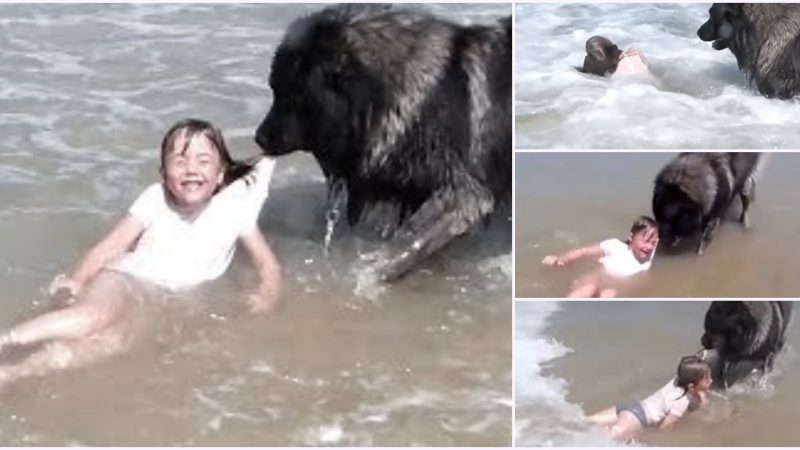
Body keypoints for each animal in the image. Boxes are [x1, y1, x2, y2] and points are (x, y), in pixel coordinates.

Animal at [253, 5, 510, 282]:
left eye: (292, 94)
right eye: (274, 89)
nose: (258, 137)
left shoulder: (463, 195)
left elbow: (406, 242)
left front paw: (373, 274)